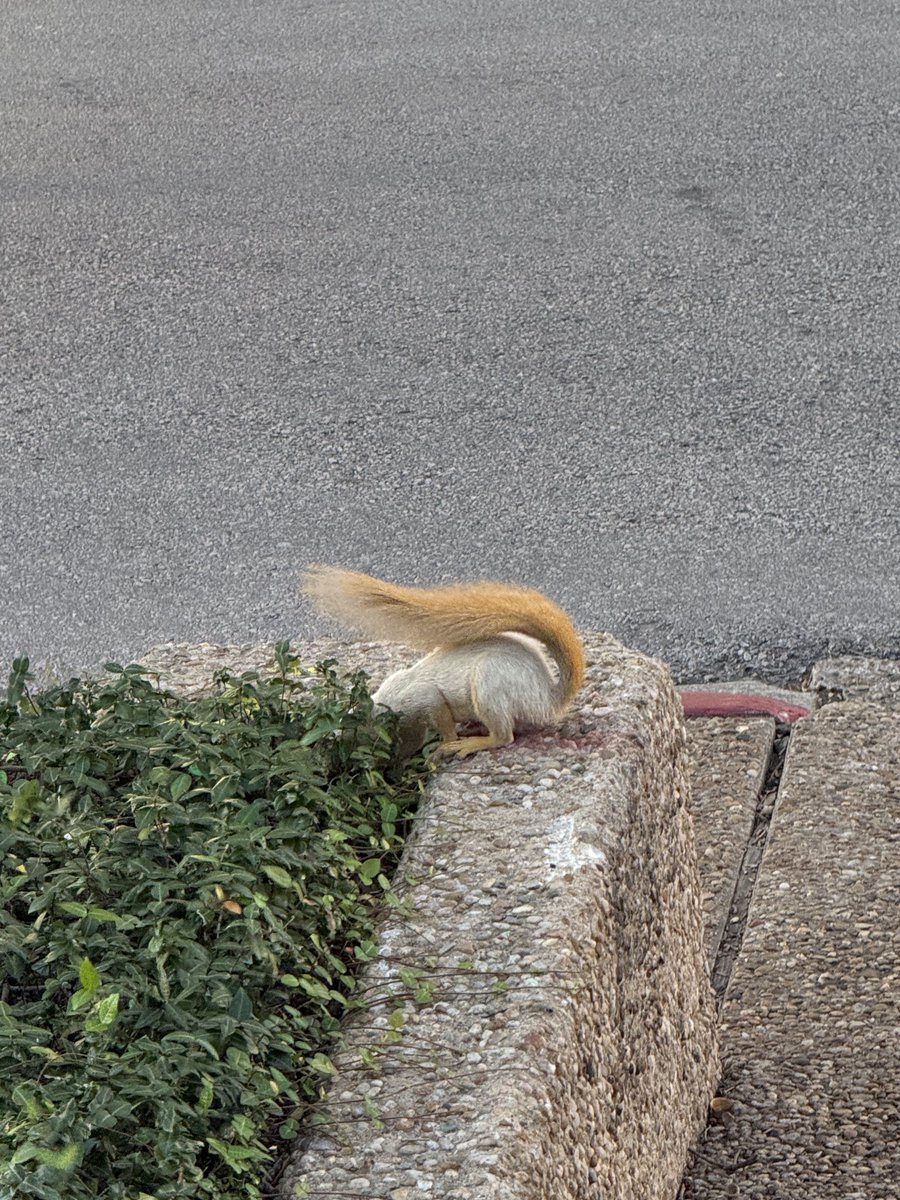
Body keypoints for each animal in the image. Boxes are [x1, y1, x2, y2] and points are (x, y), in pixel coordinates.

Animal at [302, 566, 586, 758]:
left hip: (490, 683)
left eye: (348, 734)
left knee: (505, 735)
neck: (383, 706)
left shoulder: (422, 699)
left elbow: (441, 717)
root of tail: (547, 697)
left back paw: (472, 743)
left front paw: (445, 744)